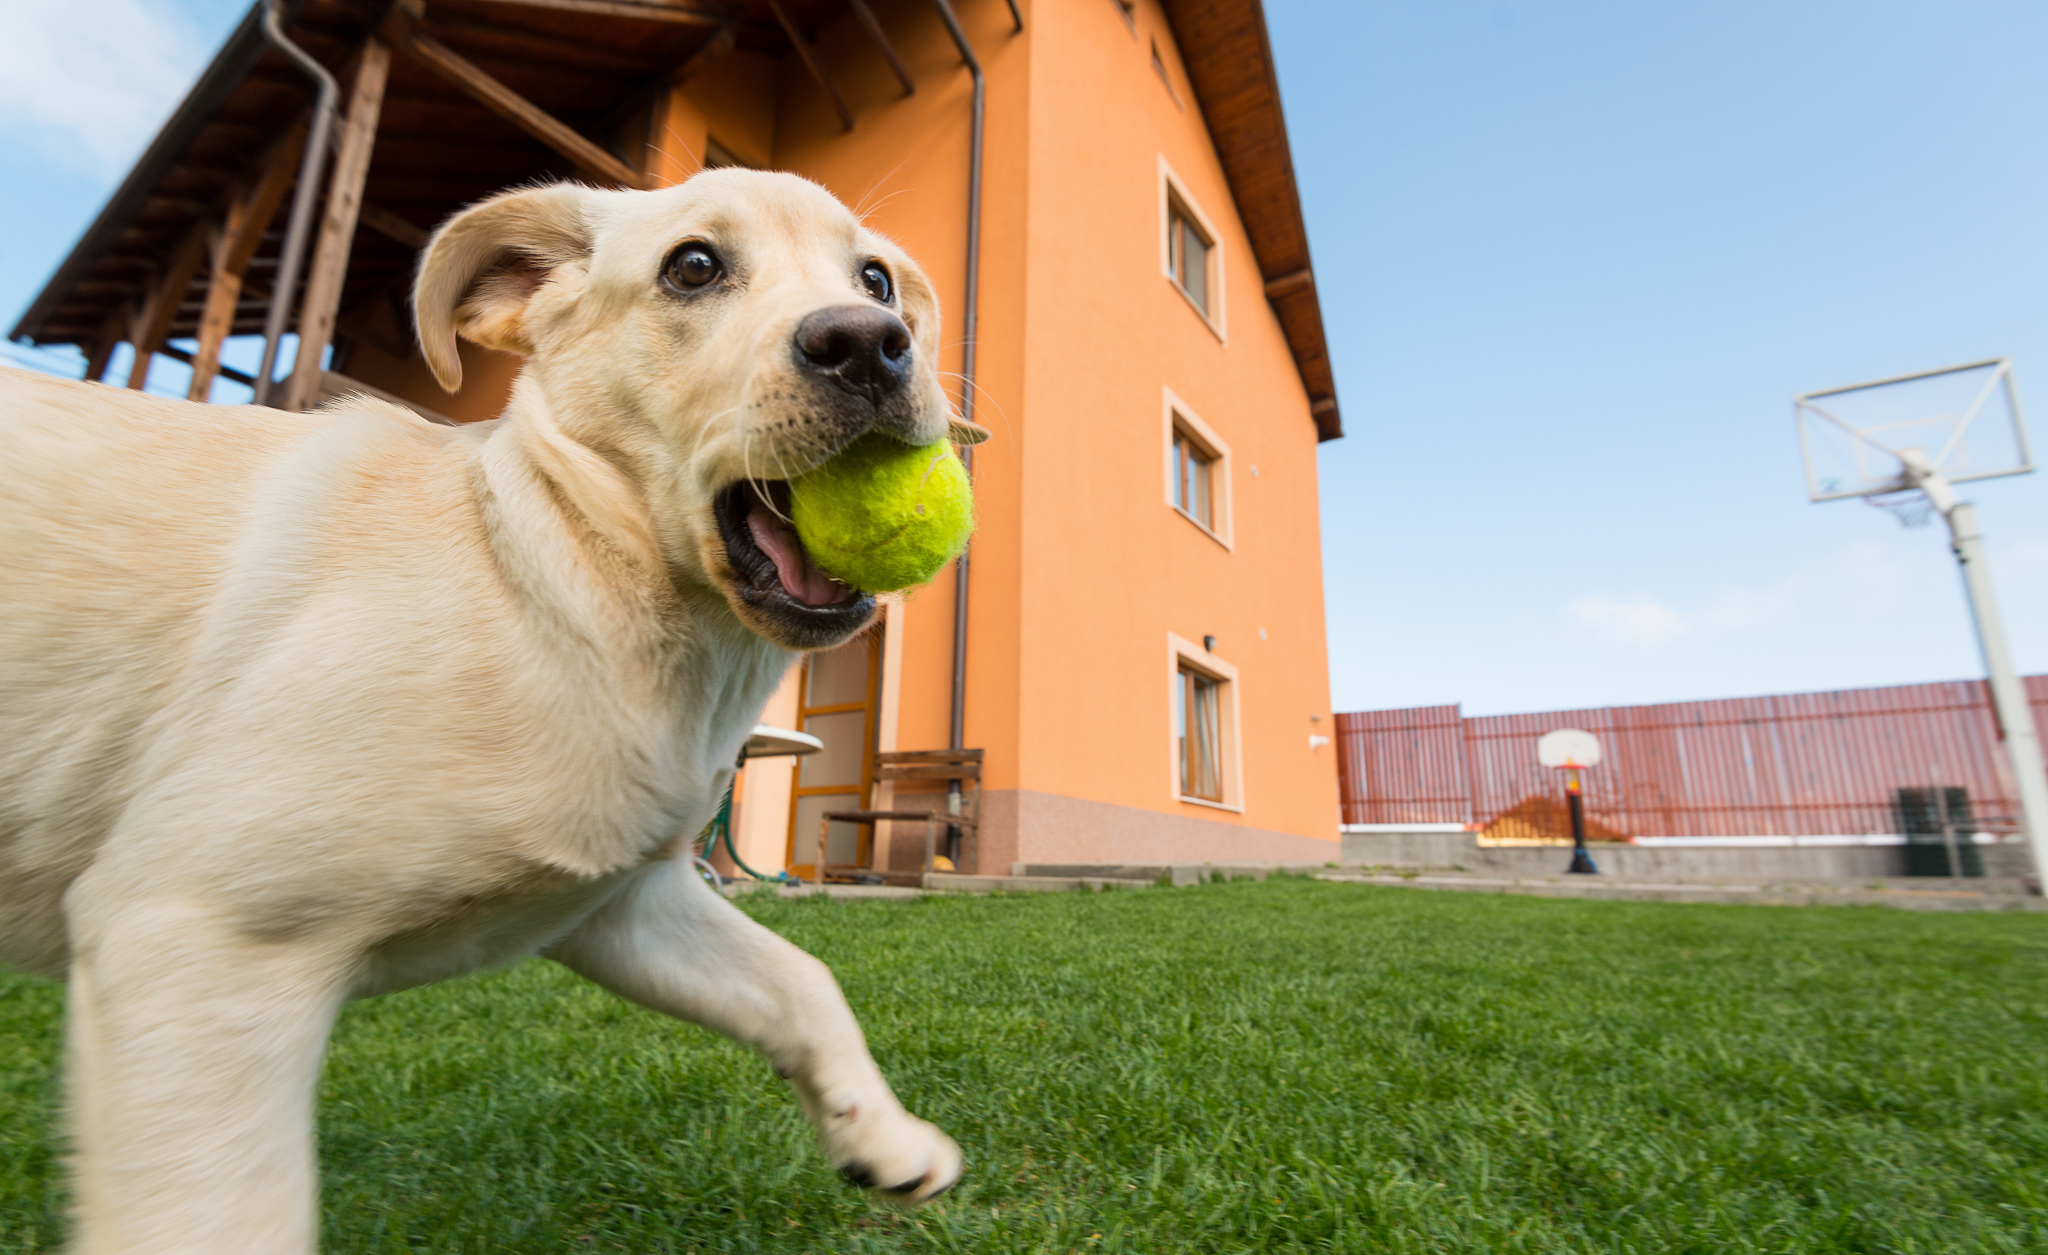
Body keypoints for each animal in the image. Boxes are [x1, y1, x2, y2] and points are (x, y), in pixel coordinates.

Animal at [0, 168, 974, 1252]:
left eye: (876, 280)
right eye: (692, 266)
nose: (868, 344)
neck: (550, 567)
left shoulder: (623, 901)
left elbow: (801, 980)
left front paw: (880, 1134)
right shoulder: (197, 938)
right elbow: (224, 1214)